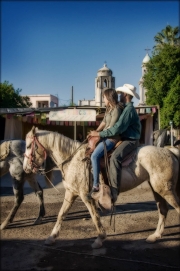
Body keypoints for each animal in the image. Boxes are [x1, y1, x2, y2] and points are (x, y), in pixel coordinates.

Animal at [23, 126, 179, 250]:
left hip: (165, 189)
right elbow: (61, 214)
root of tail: (169, 151)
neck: (73, 160)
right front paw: (51, 237)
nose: (25, 168)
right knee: (163, 210)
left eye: (29, 146)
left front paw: (99, 239)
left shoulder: (86, 196)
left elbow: (94, 216)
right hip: (157, 189)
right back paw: (155, 236)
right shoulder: (70, 193)